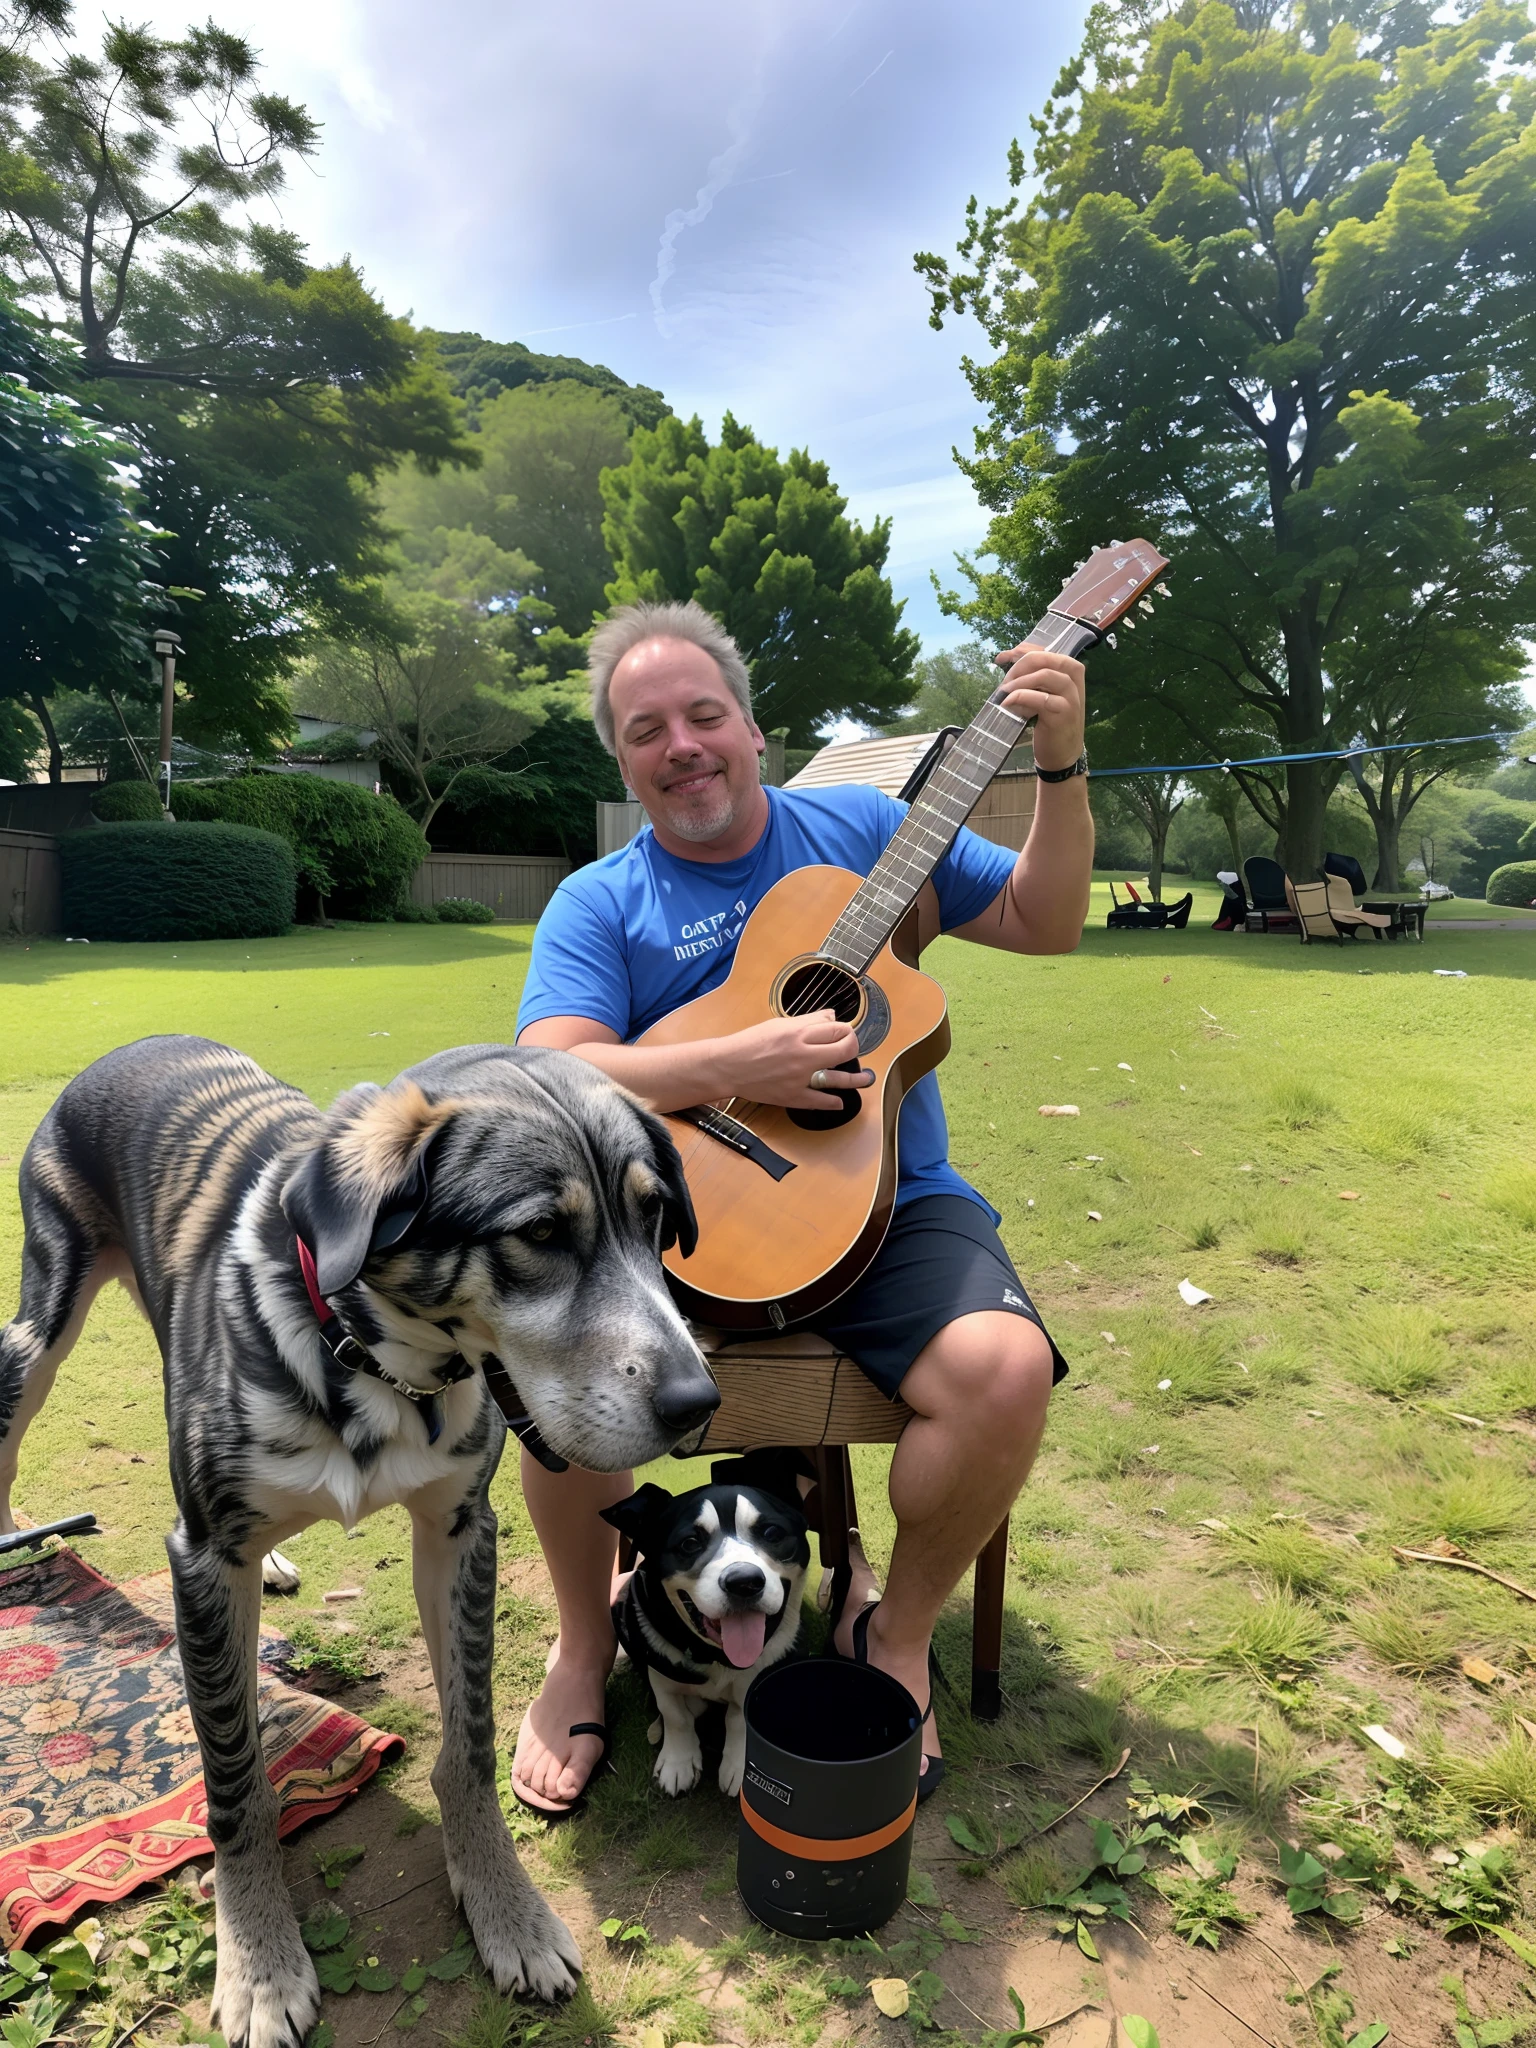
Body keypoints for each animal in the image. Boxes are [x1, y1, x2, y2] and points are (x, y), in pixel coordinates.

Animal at [0, 1040, 720, 2048]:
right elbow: (234, 1780)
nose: (700, 1404)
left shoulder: (458, 1531)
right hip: (39, 1325)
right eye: (540, 1232)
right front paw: (260, 1964)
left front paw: (506, 1911)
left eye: (654, 1213)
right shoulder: (200, 1558)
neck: (378, 1360)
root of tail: (135, 1046)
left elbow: (468, 1748)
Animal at [606, 1482, 811, 1802]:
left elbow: (739, 1718)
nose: (744, 1581)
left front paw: (738, 1764)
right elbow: (674, 1713)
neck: (716, 1654)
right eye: (690, 1543)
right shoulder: (660, 1671)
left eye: (771, 1533)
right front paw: (678, 1762)